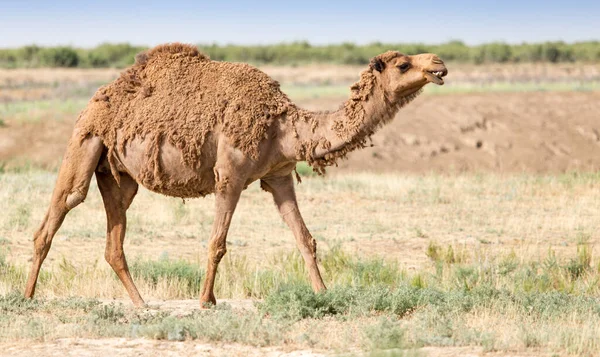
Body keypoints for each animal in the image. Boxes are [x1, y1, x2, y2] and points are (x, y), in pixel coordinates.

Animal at [22, 43, 446, 306]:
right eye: (403, 64)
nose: (439, 65)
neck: (283, 128)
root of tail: (97, 97)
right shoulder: (230, 176)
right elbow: (217, 243)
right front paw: (205, 301)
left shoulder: (279, 176)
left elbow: (304, 239)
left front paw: (324, 294)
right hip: (84, 141)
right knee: (58, 212)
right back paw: (26, 298)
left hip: (117, 174)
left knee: (114, 239)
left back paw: (142, 305)